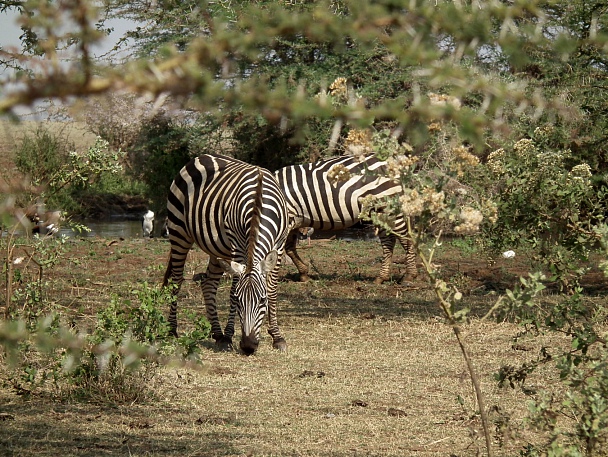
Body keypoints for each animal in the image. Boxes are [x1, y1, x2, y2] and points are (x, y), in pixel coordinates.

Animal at [163, 152, 290, 352]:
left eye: (262, 301)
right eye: (238, 301)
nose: (248, 346)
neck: (259, 203)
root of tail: (201, 156)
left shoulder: (280, 243)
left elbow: (272, 289)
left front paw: (277, 337)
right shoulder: (237, 246)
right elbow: (232, 290)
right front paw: (229, 335)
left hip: (217, 247)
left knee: (208, 283)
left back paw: (216, 333)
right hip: (179, 232)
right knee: (176, 280)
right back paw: (172, 330)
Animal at [276, 155, 418, 284]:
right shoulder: (292, 221)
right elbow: (289, 248)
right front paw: (304, 273)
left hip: (387, 206)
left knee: (405, 239)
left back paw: (409, 276)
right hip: (381, 212)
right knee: (388, 241)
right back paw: (382, 277)